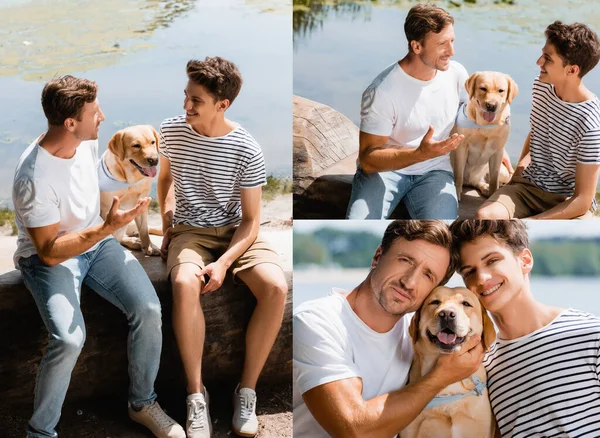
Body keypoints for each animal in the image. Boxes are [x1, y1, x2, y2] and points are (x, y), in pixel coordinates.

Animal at [100, 125, 162, 255]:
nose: (154, 160)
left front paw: (149, 247)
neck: (130, 181)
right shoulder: (108, 210)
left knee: (146, 228)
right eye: (136, 145)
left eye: (153, 142)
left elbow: (144, 231)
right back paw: (134, 241)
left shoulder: (142, 204)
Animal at [452, 71, 516, 200]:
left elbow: (494, 181)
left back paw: (486, 188)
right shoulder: (461, 147)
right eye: (483, 88)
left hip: (504, 172)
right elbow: (458, 175)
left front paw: (492, 194)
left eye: (501, 90)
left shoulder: (498, 152)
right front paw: (456, 193)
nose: (491, 106)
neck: (486, 126)